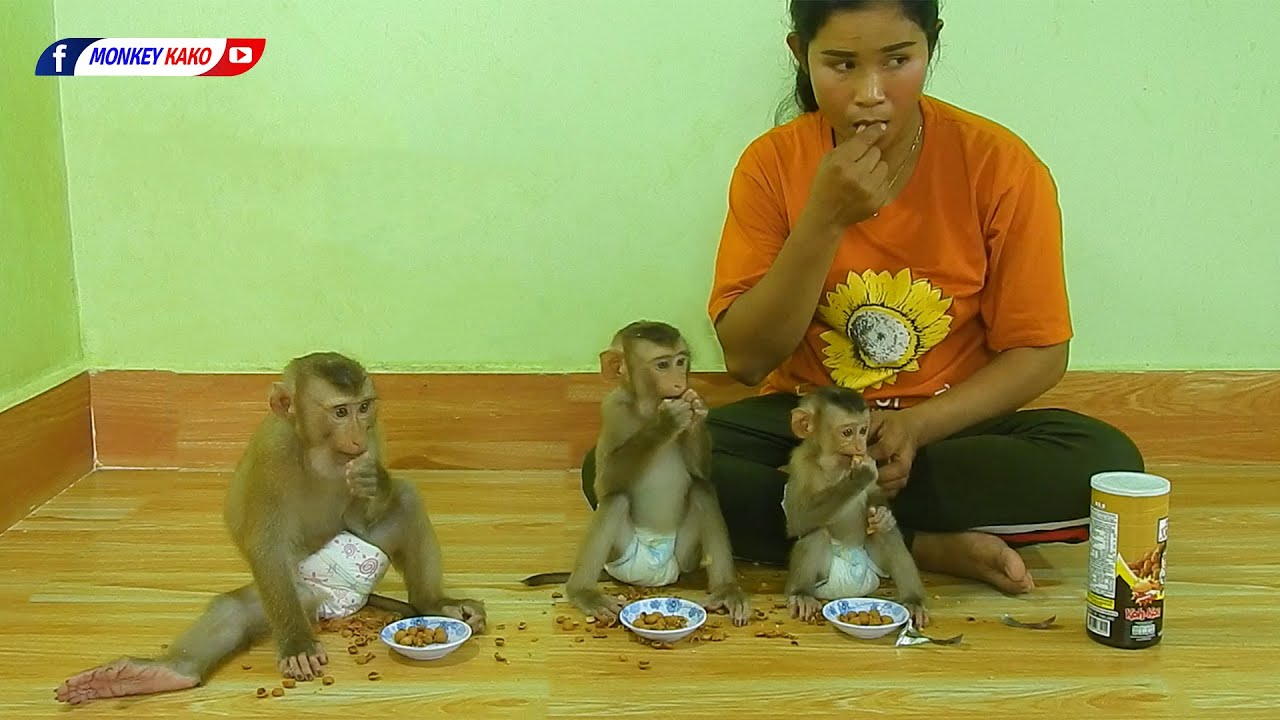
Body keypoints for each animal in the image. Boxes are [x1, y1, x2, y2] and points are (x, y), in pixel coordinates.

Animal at [55, 352, 485, 705]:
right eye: (340, 412)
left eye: (363, 408)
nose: (356, 436)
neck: (319, 449)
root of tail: (346, 604)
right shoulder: (272, 451)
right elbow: (266, 544)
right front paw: (296, 646)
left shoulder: (374, 438)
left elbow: (366, 515)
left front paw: (375, 481)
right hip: (300, 594)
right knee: (237, 608)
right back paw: (163, 673)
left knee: (407, 498)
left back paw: (434, 602)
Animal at [522, 321, 751, 626]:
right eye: (663, 365)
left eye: (681, 361)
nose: (679, 384)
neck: (648, 406)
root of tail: (655, 576)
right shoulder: (612, 409)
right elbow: (605, 483)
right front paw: (666, 423)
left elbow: (700, 471)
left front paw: (696, 408)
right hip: (620, 560)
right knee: (615, 500)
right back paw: (583, 592)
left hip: (683, 560)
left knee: (702, 488)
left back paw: (726, 590)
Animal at [781, 386, 929, 628]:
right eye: (848, 432)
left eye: (863, 430)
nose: (860, 445)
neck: (834, 463)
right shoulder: (802, 465)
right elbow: (797, 519)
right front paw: (859, 476)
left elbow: (876, 496)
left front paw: (883, 515)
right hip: (826, 579)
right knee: (816, 534)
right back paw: (801, 593)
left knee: (885, 534)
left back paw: (913, 599)